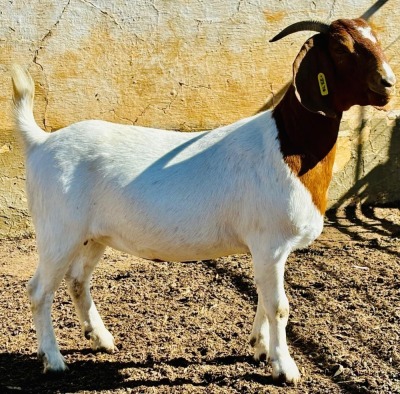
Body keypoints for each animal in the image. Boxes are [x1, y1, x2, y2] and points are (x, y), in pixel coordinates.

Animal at [11, 18, 394, 384]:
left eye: (375, 37)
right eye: (341, 48)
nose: (388, 83)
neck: (287, 146)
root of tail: (40, 141)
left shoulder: (266, 250)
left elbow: (262, 297)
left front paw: (259, 348)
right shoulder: (271, 242)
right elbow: (279, 306)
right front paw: (285, 369)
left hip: (93, 236)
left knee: (77, 281)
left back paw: (102, 339)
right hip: (58, 231)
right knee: (38, 291)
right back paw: (53, 361)